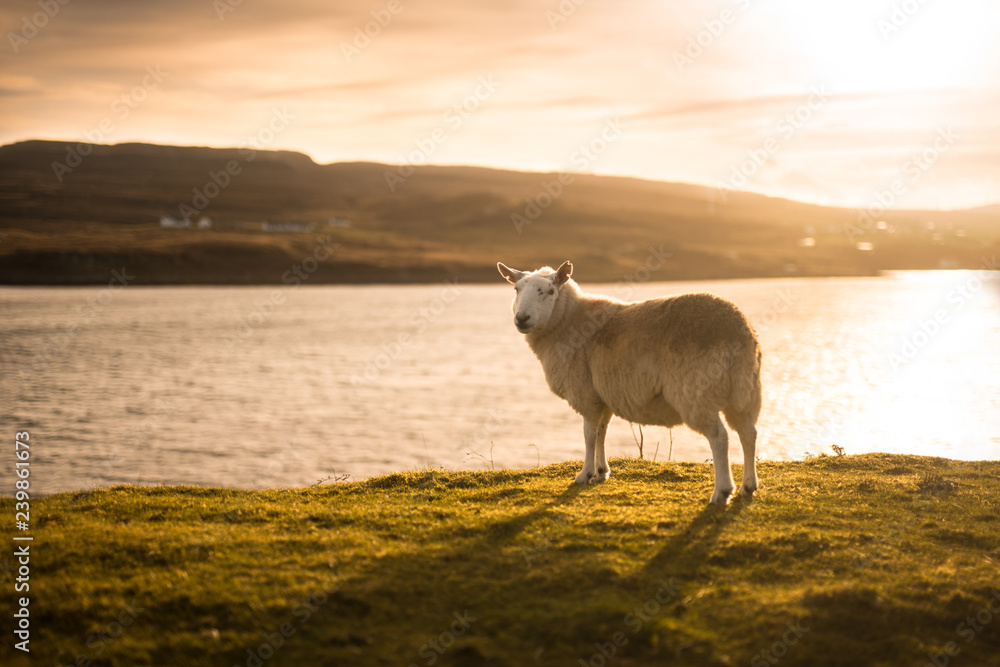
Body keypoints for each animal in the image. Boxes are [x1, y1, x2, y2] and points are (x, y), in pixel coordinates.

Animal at [496, 260, 762, 504]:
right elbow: (602, 432)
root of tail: (739, 330)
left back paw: (721, 492)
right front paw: (601, 472)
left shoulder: (585, 395)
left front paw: (585, 474)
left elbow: (589, 435)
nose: (522, 318)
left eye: (550, 291)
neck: (568, 322)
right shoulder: (602, 396)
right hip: (743, 392)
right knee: (748, 433)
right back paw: (748, 487)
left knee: (720, 437)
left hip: (697, 392)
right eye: (516, 289)